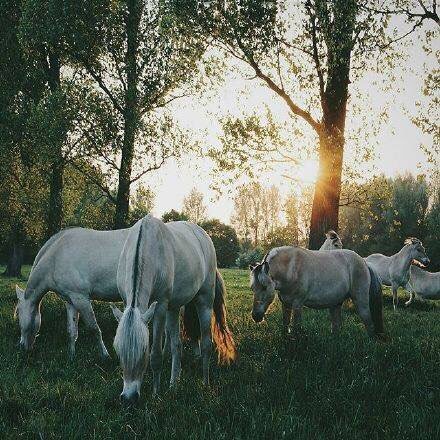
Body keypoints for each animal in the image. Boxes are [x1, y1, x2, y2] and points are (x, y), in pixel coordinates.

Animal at [15, 227, 129, 358]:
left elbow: (94, 329)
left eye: (18, 313)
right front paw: (71, 356)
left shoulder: (81, 299)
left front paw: (105, 355)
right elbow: (71, 331)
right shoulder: (70, 301)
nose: (22, 346)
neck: (56, 258)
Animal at [110, 215, 237, 404]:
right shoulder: (130, 302)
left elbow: (156, 356)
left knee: (206, 344)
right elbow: (172, 345)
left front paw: (155, 394)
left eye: (143, 351)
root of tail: (203, 235)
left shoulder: (160, 307)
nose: (128, 398)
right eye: (118, 351)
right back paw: (173, 385)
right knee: (177, 345)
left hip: (204, 301)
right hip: (174, 308)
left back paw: (205, 383)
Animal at [249, 248, 386, 340]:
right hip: (336, 304)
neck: (291, 268)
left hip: (361, 302)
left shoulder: (297, 304)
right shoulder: (286, 304)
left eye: (264, 287)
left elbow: (296, 327)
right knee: (336, 327)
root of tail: (364, 262)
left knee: (369, 323)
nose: (256, 316)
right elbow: (285, 324)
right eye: (253, 288)